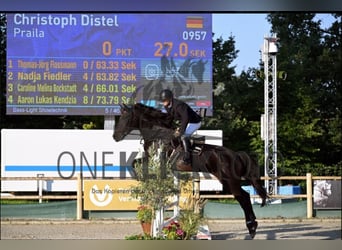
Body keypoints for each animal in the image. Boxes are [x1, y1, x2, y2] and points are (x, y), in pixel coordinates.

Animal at [113, 102, 268, 238]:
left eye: (124, 117)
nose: (115, 137)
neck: (157, 134)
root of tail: (236, 155)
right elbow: (134, 162)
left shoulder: (157, 159)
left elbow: (137, 164)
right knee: (245, 197)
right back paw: (253, 227)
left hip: (229, 181)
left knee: (244, 197)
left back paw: (252, 227)